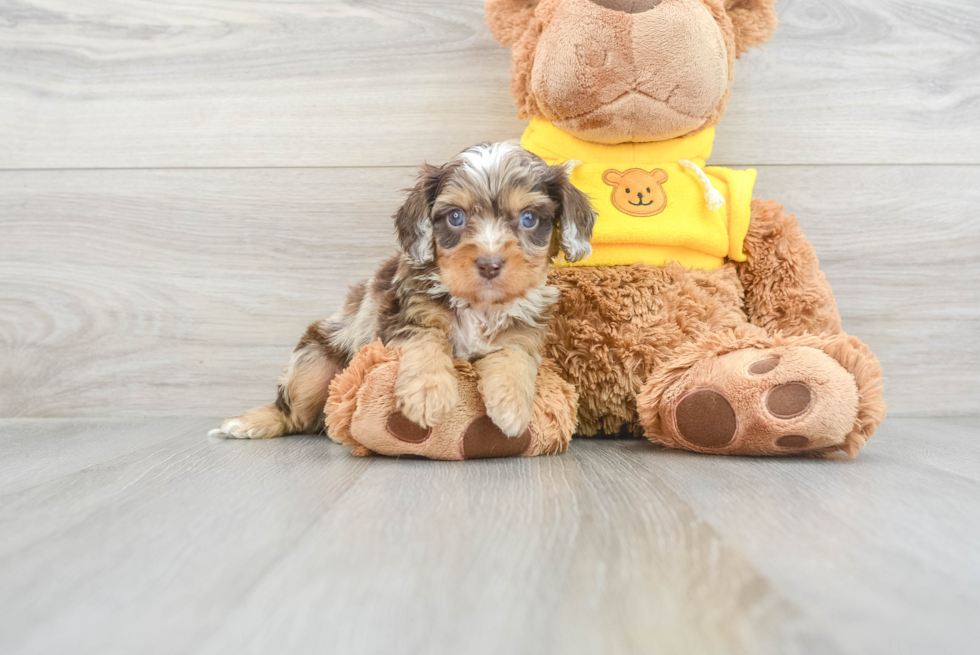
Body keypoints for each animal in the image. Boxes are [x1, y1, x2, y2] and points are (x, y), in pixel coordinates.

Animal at [213, 143, 592, 440]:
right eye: (455, 217)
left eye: (529, 219)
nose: (489, 264)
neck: (479, 305)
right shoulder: (405, 316)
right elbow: (426, 343)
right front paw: (428, 395)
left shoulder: (522, 332)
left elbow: (513, 358)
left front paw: (512, 408)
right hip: (313, 361)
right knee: (296, 415)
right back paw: (254, 422)